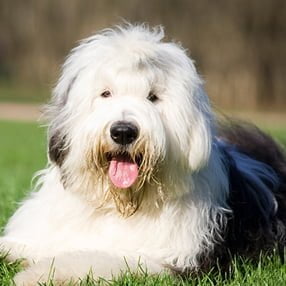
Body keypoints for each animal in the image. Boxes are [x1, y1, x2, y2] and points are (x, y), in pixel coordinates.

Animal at [0, 24, 286, 284]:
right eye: (106, 93)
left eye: (153, 97)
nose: (123, 132)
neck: (120, 204)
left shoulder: (179, 261)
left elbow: (99, 259)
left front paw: (38, 274)